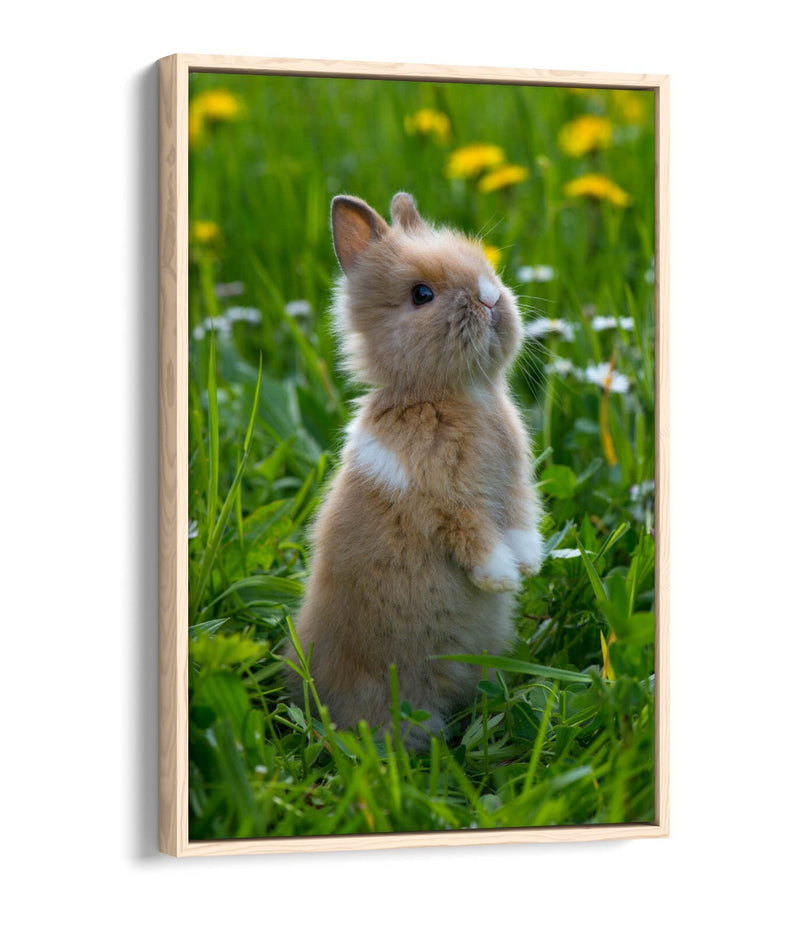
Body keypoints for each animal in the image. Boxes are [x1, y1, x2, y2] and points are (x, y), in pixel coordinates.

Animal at [285, 192, 543, 750]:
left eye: (486, 265)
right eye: (421, 295)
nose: (490, 297)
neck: (455, 393)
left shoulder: (514, 487)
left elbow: (519, 521)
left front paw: (530, 566)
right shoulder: (441, 498)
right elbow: (475, 534)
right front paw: (500, 579)